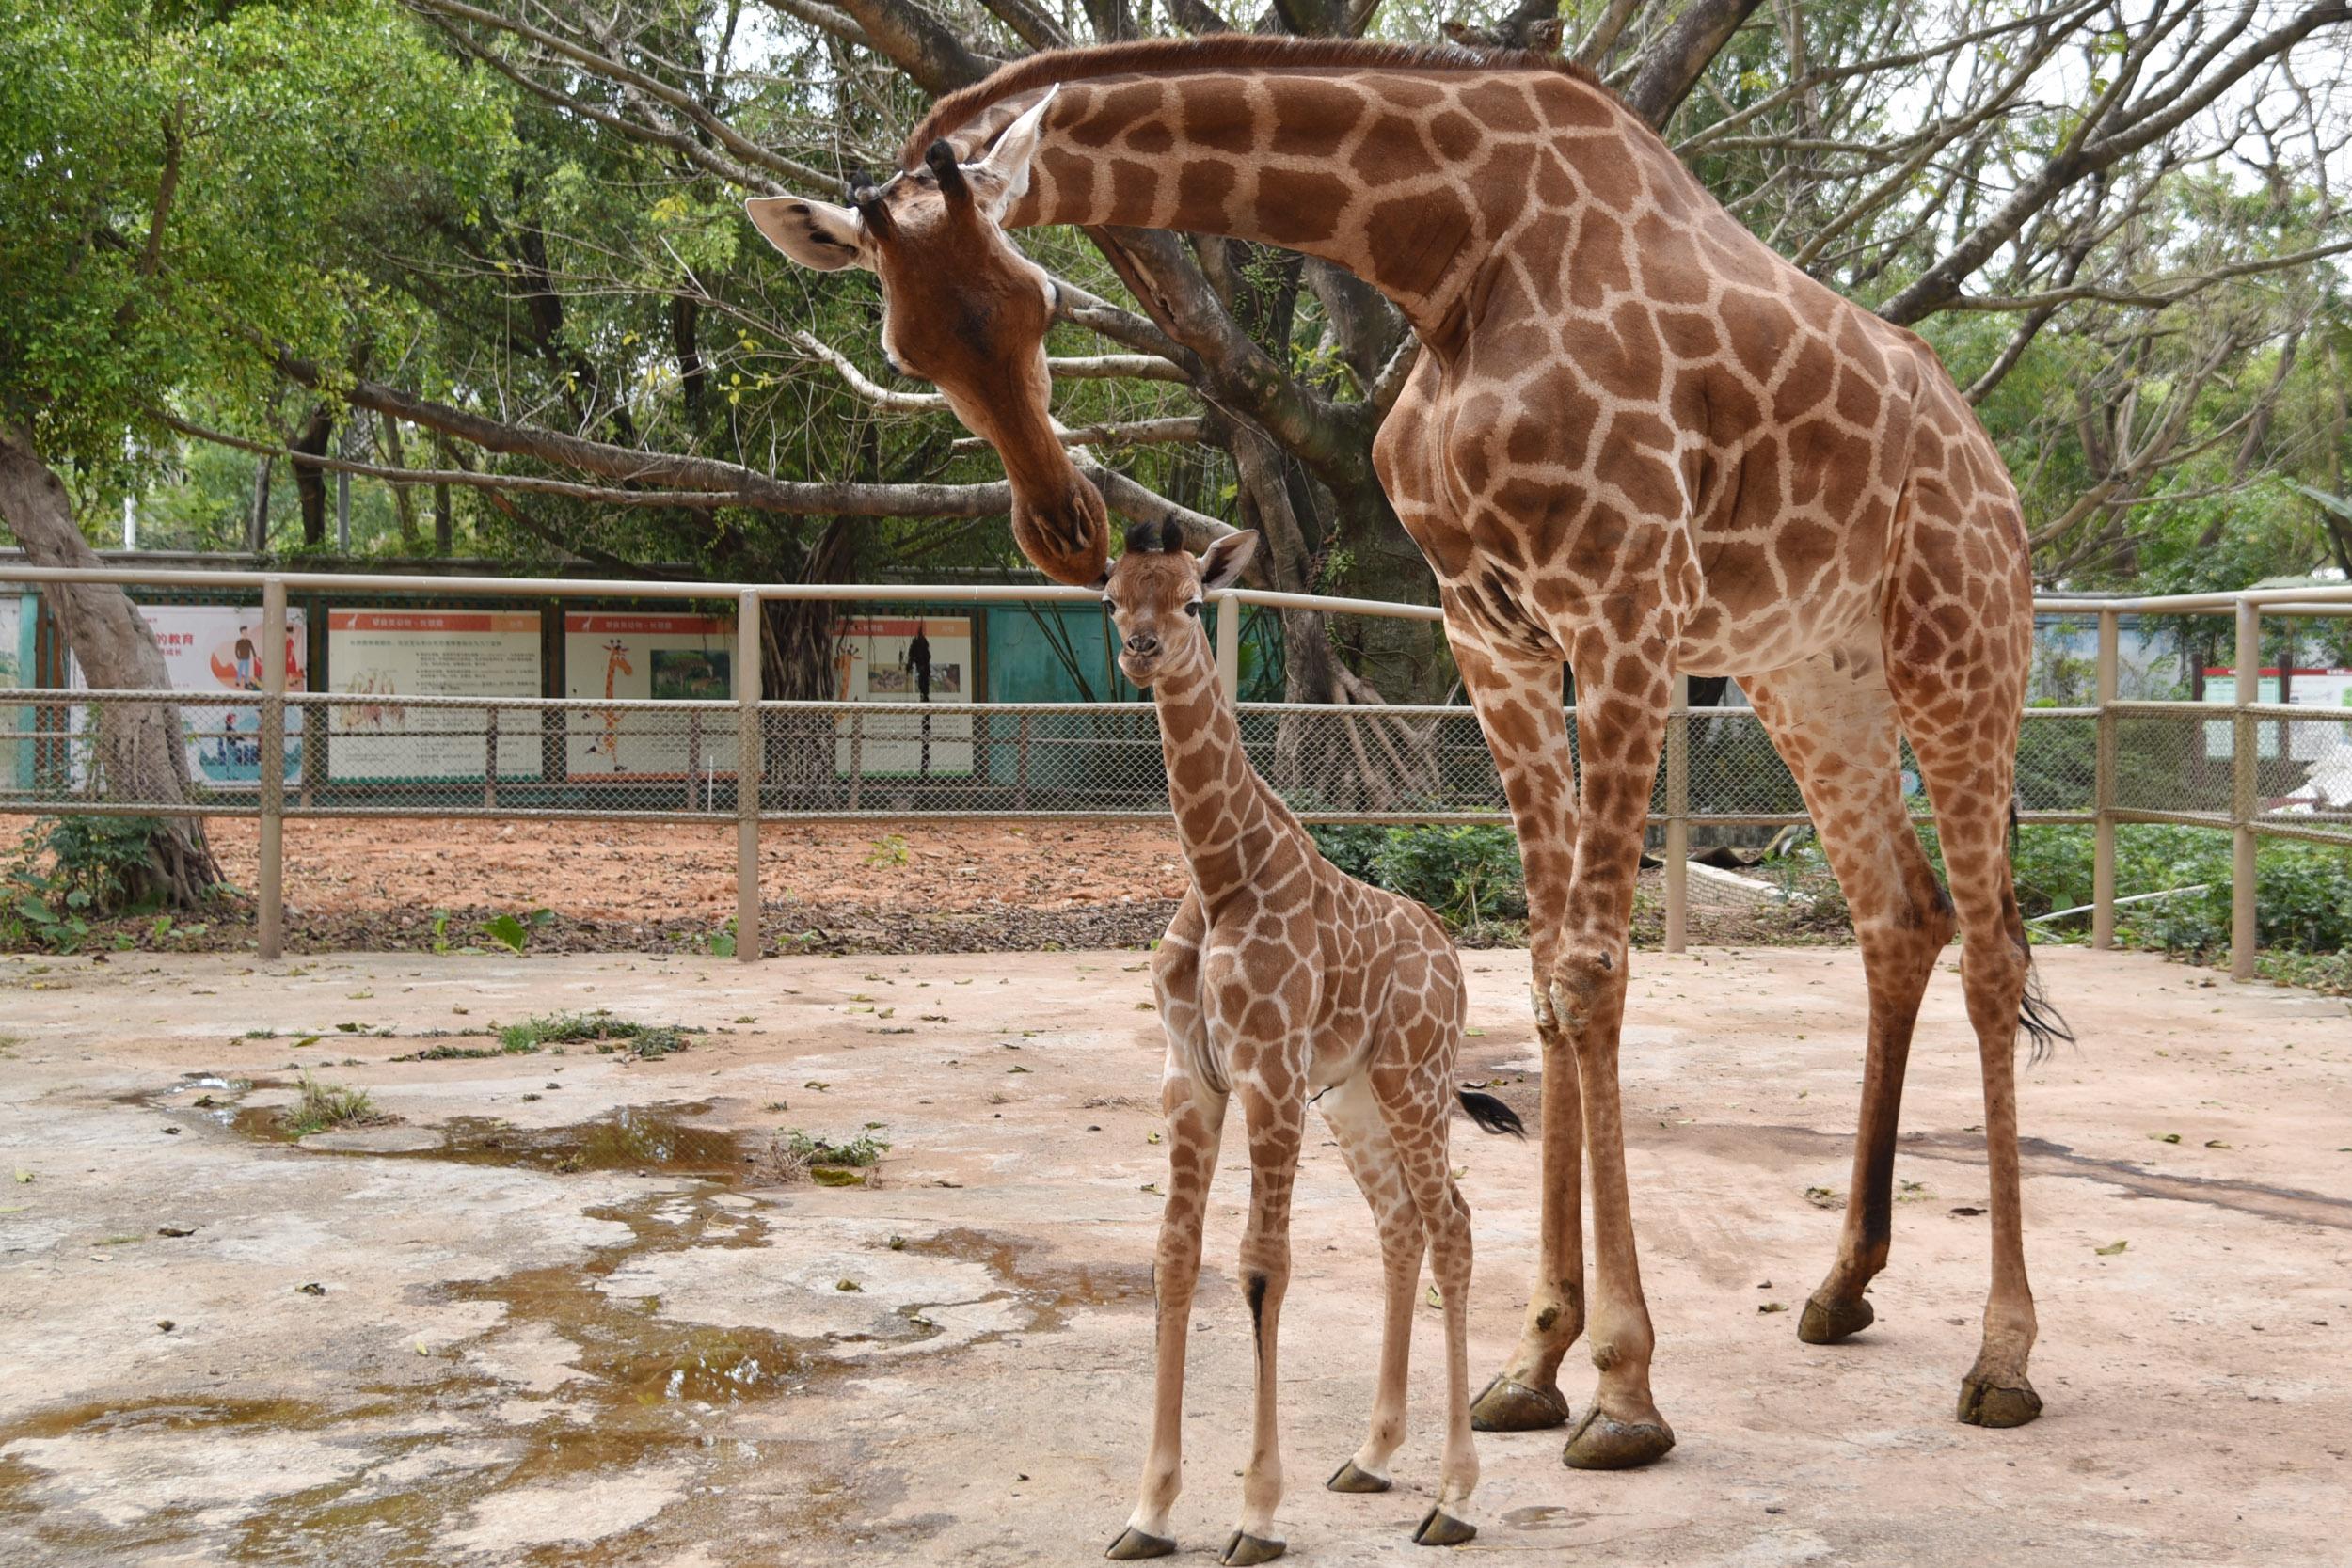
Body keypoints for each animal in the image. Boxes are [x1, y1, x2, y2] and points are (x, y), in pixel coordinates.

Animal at [1101, 526, 1524, 1568]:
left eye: (1191, 598)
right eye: (1110, 593)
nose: (1141, 648)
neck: (1219, 871)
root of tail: (1450, 955)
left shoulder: (1268, 1073)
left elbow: (1263, 1262)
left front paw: (1256, 1513)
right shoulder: (1190, 1080)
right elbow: (1174, 1255)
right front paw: (1149, 1510)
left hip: (1412, 1078)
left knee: (1452, 1223)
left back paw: (1453, 1497)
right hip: (1357, 1096)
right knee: (1401, 1223)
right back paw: (1371, 1456)